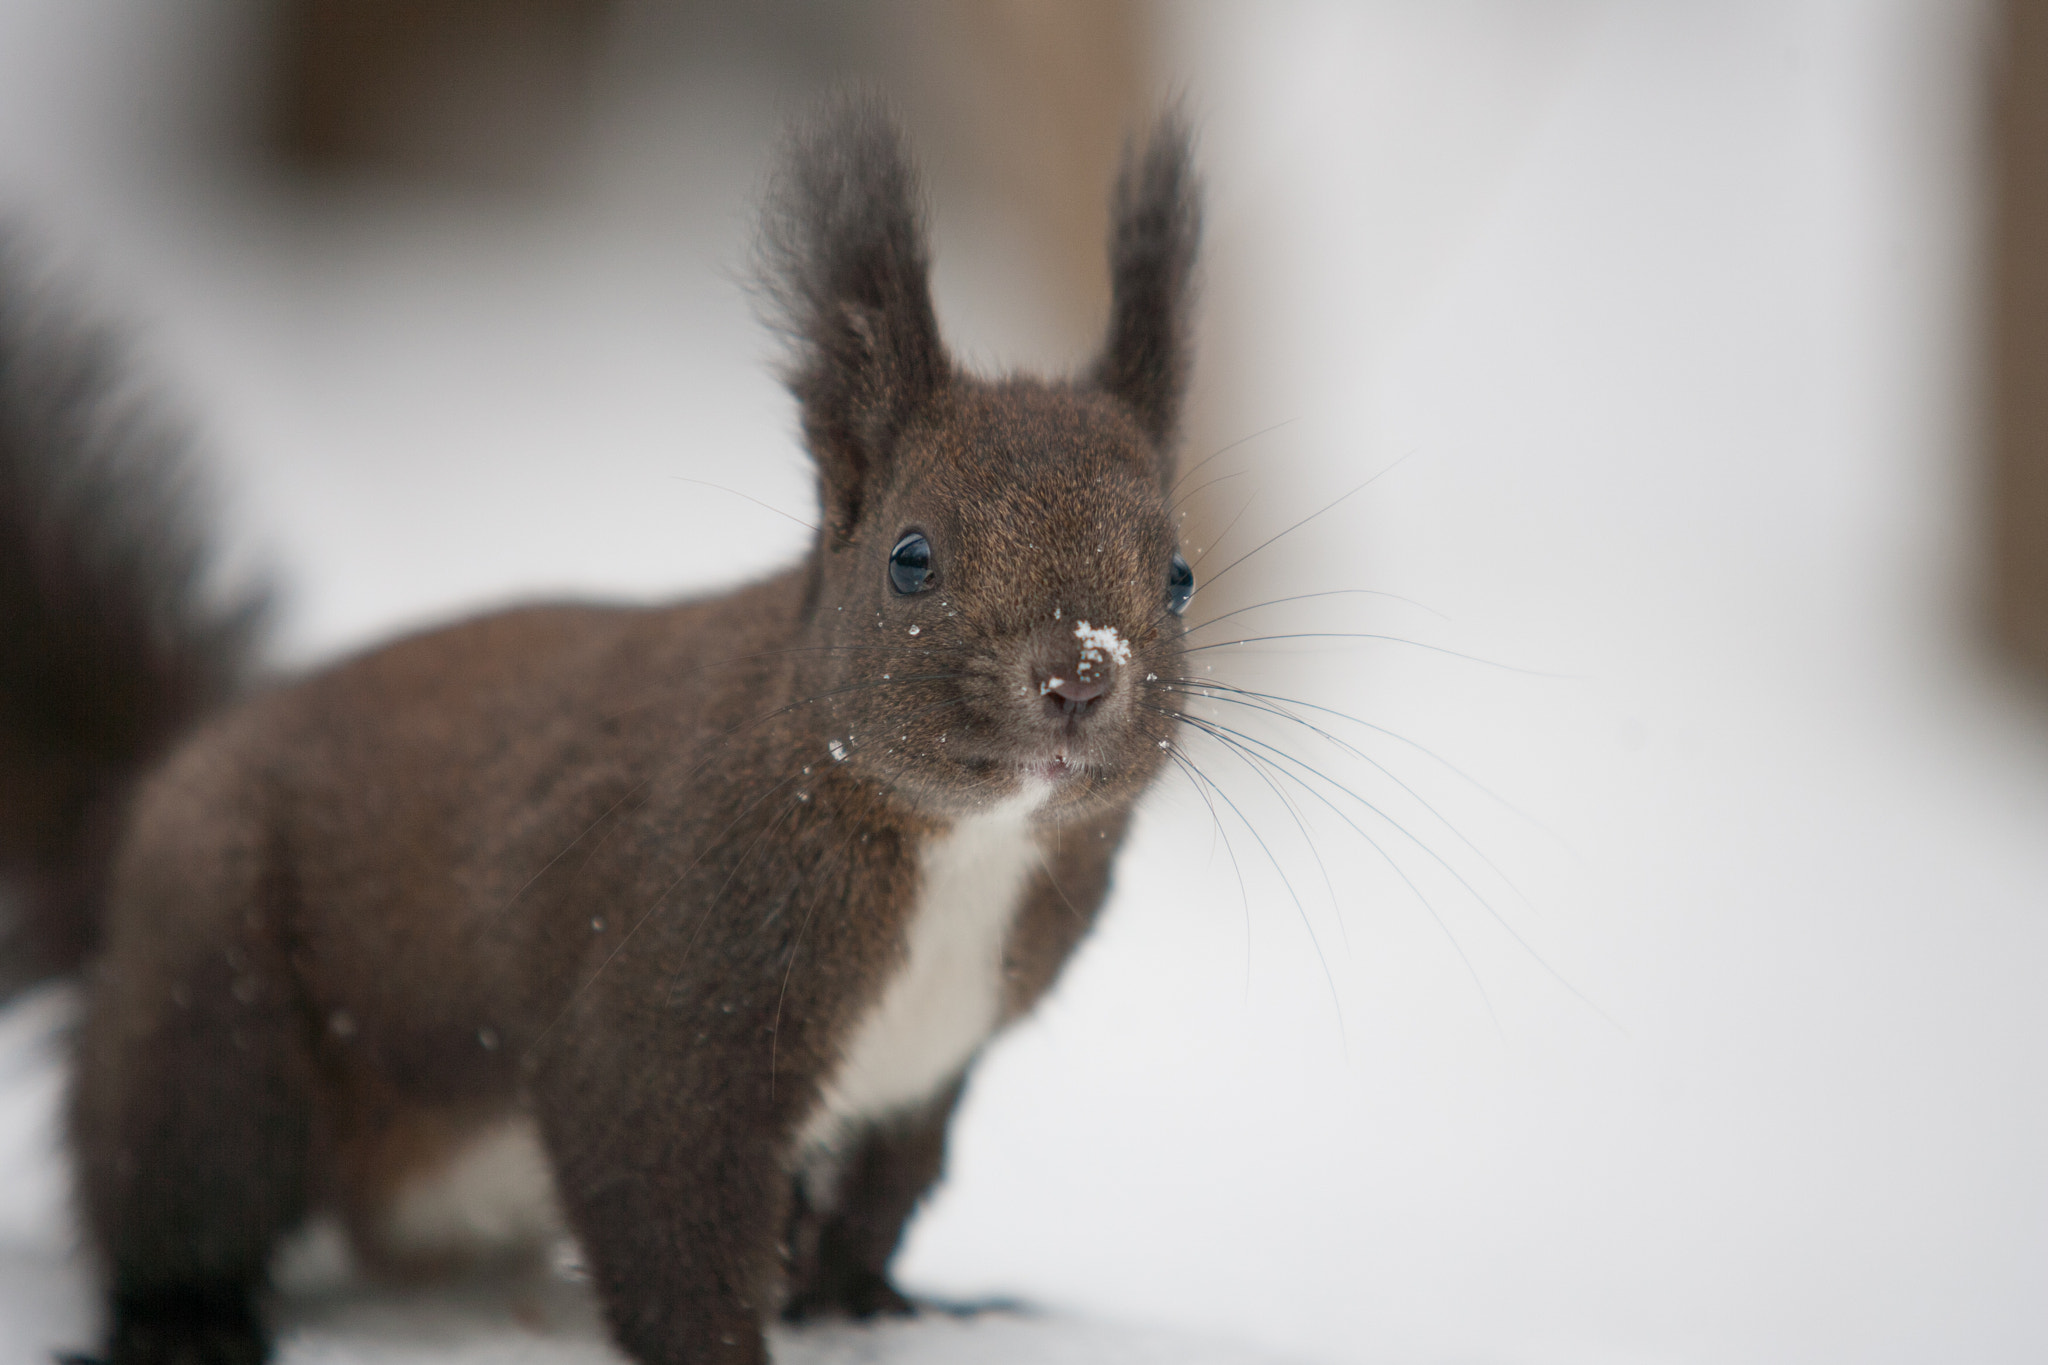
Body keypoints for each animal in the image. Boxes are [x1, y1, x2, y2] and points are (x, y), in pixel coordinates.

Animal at [0, 94, 1203, 1365]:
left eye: (1177, 575)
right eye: (910, 559)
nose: (1078, 675)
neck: (962, 848)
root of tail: (127, 819)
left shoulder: (930, 1067)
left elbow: (874, 1204)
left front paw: (871, 1307)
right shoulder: (669, 989)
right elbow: (651, 1190)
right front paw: (728, 1348)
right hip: (210, 996)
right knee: (175, 1184)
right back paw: (187, 1323)